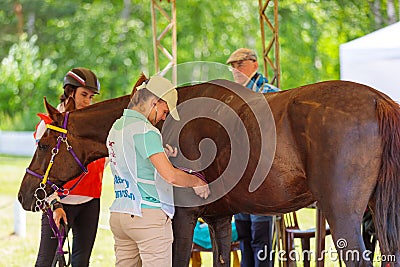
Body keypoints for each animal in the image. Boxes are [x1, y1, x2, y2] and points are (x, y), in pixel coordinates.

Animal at [18, 76, 400, 266]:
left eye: (42, 145)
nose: (25, 196)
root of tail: (377, 99)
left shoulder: (182, 219)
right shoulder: (219, 219)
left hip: (342, 215)